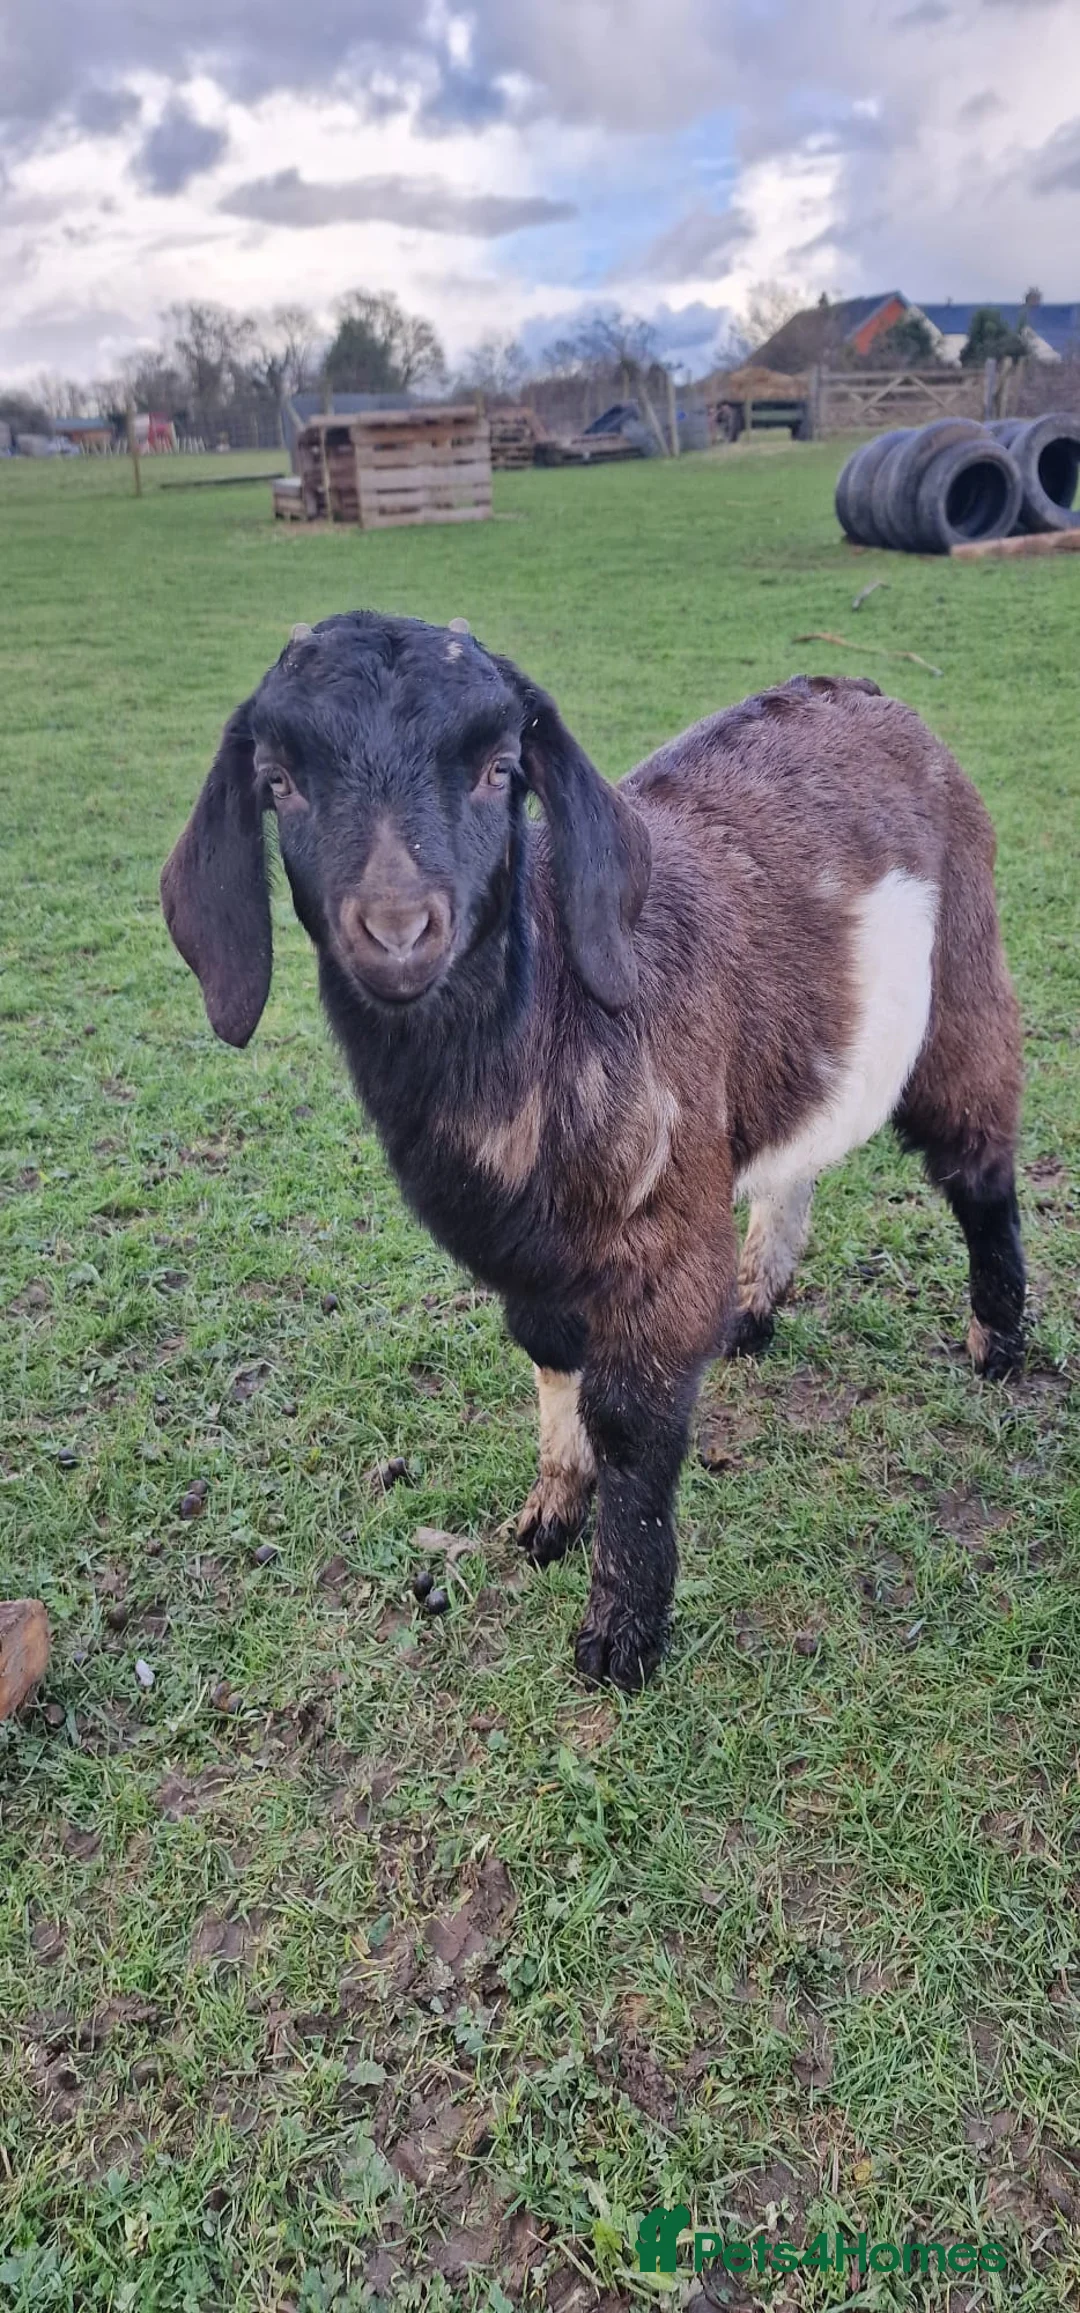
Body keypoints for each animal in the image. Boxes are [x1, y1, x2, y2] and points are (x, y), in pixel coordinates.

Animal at [161, 613, 1026, 1689]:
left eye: (499, 768)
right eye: (280, 781)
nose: (398, 930)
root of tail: (867, 691)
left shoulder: (660, 1234)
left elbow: (631, 1420)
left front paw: (621, 1631)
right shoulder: (532, 1257)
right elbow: (552, 1362)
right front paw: (549, 1517)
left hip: (962, 979)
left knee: (980, 1158)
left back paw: (1000, 1342)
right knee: (797, 1158)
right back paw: (754, 1307)